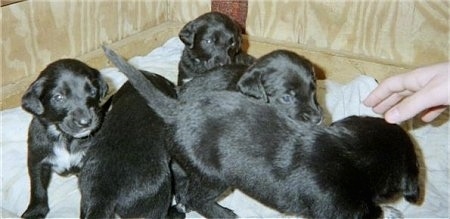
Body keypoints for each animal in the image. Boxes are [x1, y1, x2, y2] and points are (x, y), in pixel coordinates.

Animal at [21, 59, 109, 218]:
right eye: (59, 98)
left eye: (93, 91)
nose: (86, 122)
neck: (65, 138)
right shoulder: (36, 160)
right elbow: (37, 188)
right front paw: (35, 211)